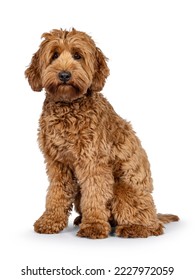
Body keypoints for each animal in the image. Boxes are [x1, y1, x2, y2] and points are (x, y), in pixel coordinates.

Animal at [24, 27, 178, 238]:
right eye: (54, 55)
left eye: (77, 56)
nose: (64, 75)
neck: (68, 107)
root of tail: (155, 214)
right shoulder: (57, 163)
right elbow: (57, 192)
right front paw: (50, 221)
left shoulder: (93, 161)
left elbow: (95, 193)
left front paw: (93, 226)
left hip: (124, 190)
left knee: (152, 226)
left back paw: (133, 228)